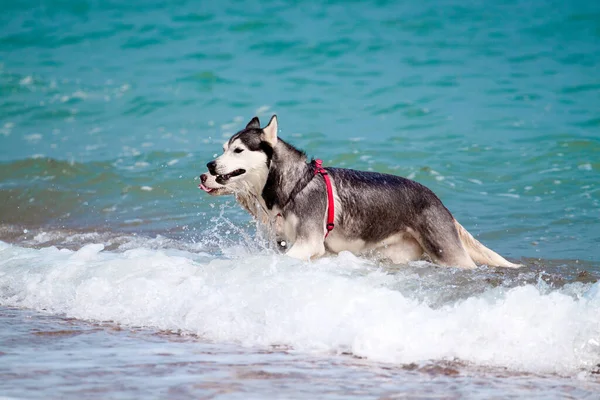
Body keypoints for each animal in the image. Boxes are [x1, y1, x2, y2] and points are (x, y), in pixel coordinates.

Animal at [199, 115, 516, 268]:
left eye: (238, 150)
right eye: (224, 148)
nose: (209, 166)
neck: (296, 185)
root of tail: (438, 201)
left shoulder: (308, 244)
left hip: (449, 254)